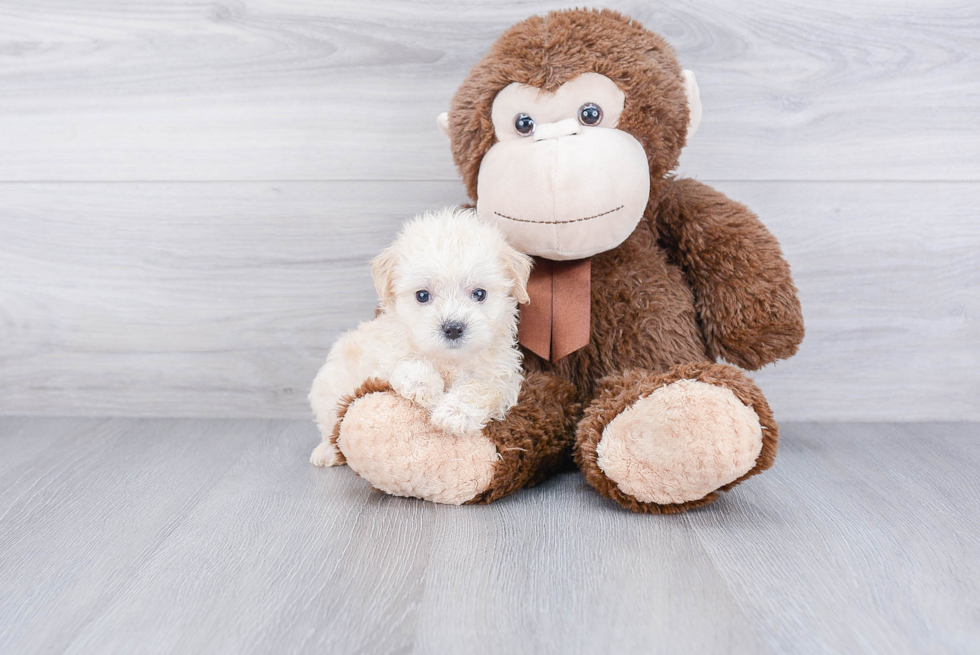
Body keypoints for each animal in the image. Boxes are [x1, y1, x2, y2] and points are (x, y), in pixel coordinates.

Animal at [308, 208, 532, 468]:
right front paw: (425, 386)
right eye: (422, 295)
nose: (453, 328)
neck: (448, 360)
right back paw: (326, 452)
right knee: (331, 424)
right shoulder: (384, 357)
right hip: (329, 387)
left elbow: (479, 388)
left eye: (479, 294)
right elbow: (405, 363)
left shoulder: (502, 376)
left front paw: (453, 413)